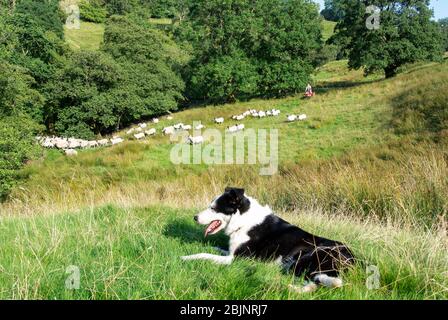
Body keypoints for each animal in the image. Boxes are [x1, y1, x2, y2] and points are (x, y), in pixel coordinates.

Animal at [180, 188, 356, 292]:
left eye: (214, 208)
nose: (194, 217)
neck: (243, 221)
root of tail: (354, 261)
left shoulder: (236, 259)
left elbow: (205, 255)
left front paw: (186, 257)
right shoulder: (231, 253)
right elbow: (215, 249)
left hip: (304, 258)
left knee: (315, 282)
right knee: (313, 284)